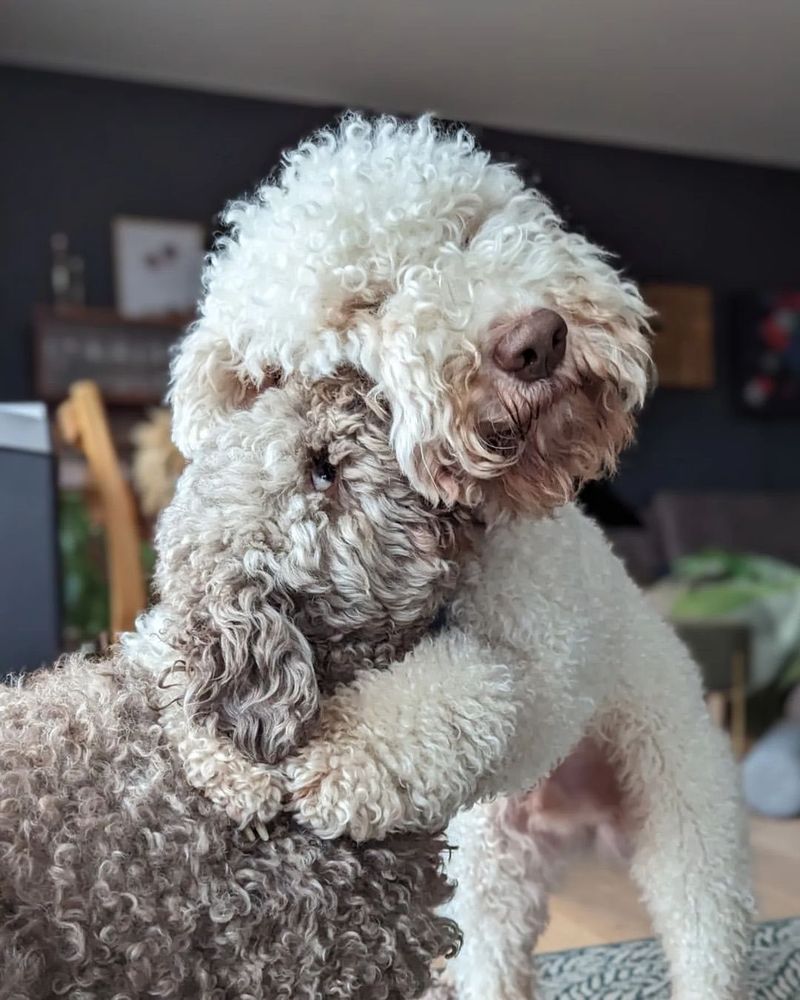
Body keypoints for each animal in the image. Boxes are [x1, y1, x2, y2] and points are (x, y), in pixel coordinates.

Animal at [169, 117, 752, 1000]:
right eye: (364, 302)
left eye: (471, 229)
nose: (536, 339)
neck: (471, 522)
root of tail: (578, 818)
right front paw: (216, 748)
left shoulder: (544, 671)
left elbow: (465, 689)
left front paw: (342, 755)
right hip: (491, 869)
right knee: (493, 957)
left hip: (685, 820)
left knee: (706, 939)